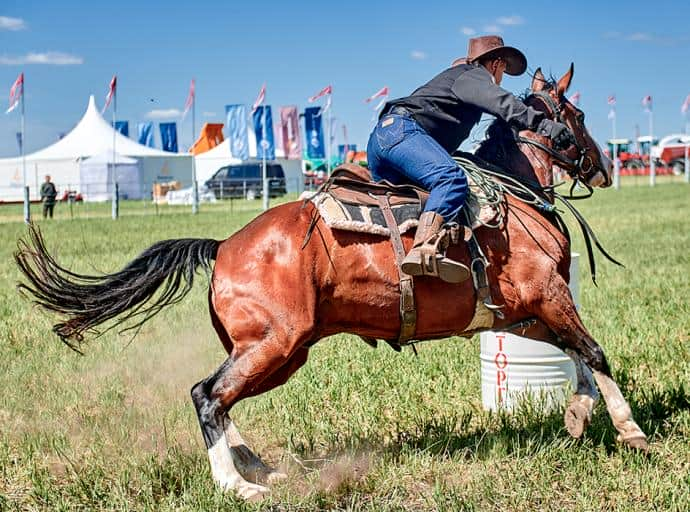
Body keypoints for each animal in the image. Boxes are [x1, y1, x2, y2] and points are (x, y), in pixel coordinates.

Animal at [16, 64, 648, 500]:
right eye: (579, 117)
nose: (603, 167)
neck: (509, 199)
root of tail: (223, 247)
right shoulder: (548, 295)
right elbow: (594, 350)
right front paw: (630, 429)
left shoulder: (519, 313)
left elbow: (575, 353)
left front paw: (577, 415)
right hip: (276, 344)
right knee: (206, 395)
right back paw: (238, 485)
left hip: (275, 352)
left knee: (222, 399)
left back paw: (259, 467)